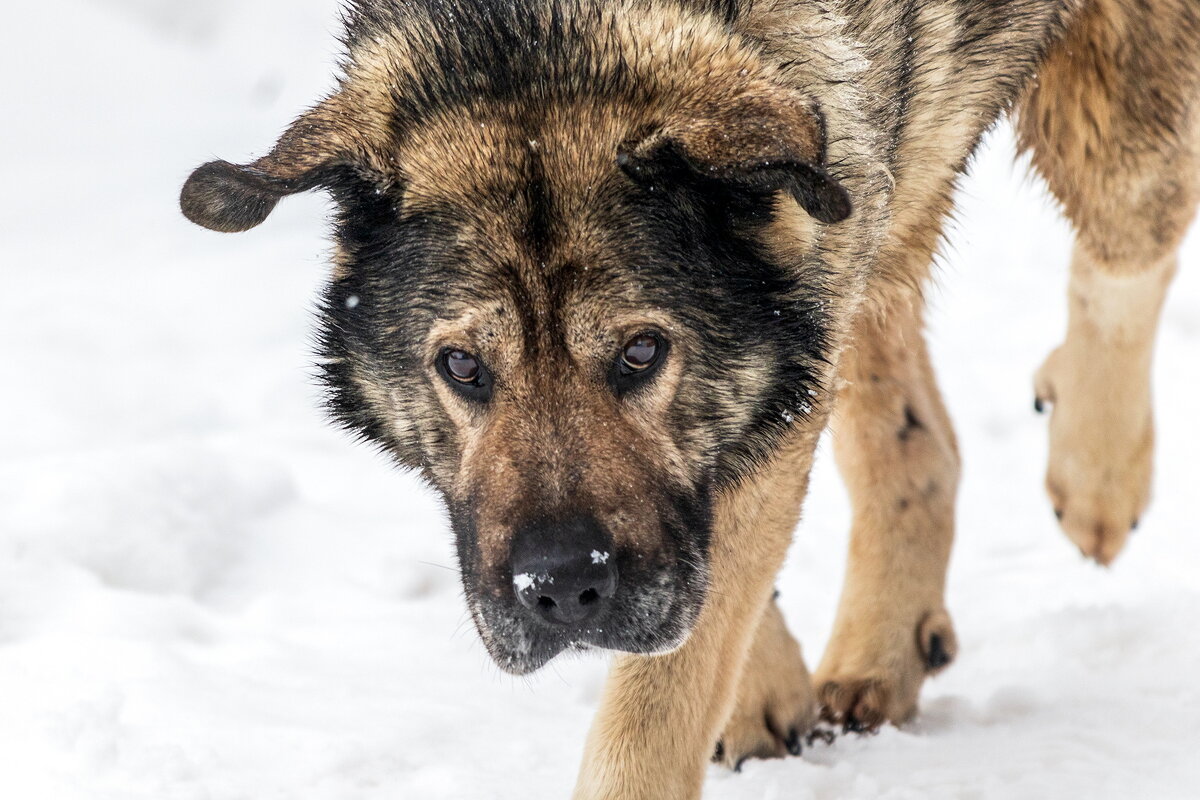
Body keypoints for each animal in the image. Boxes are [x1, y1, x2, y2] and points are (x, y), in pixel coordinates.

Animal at [180, 1, 1200, 796]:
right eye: (463, 367)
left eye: (641, 351)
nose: (563, 591)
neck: (547, 28)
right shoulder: (819, 261)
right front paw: (766, 689)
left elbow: (657, 699)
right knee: (916, 432)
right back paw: (884, 645)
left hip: (1110, 130)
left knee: (1129, 251)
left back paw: (1097, 473)